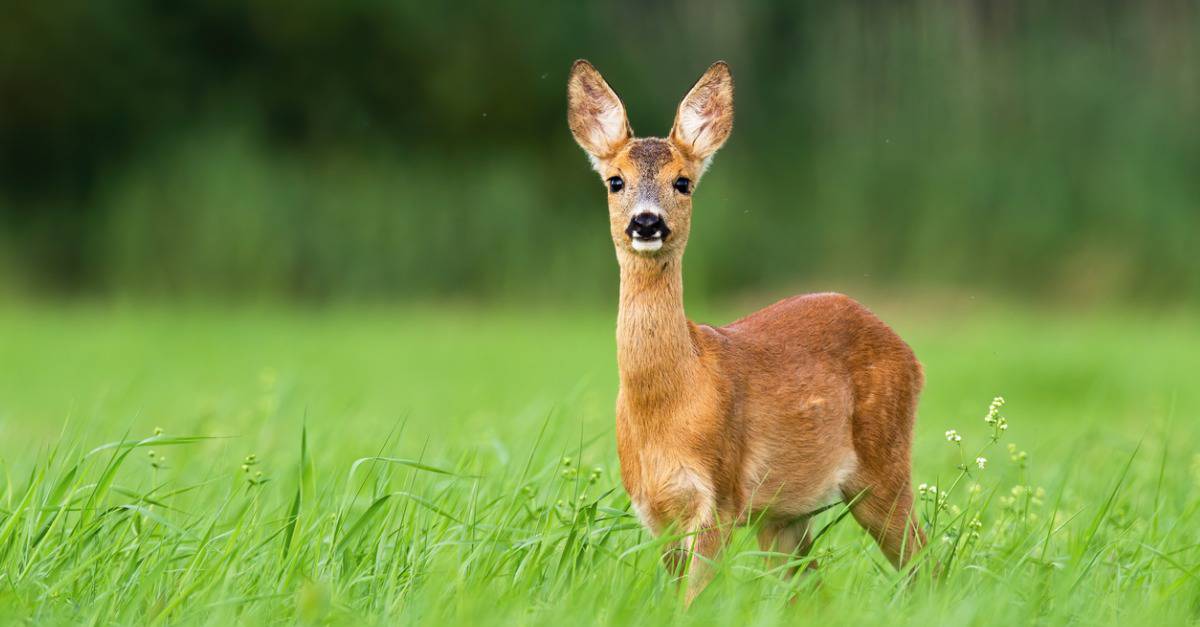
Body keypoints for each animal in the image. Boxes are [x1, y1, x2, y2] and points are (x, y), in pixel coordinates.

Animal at [566, 59, 927, 604]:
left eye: (683, 182)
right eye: (614, 181)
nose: (647, 223)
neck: (671, 402)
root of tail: (910, 354)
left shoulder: (718, 495)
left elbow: (693, 601)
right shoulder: (653, 509)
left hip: (882, 465)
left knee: (925, 560)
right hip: (785, 515)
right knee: (811, 587)